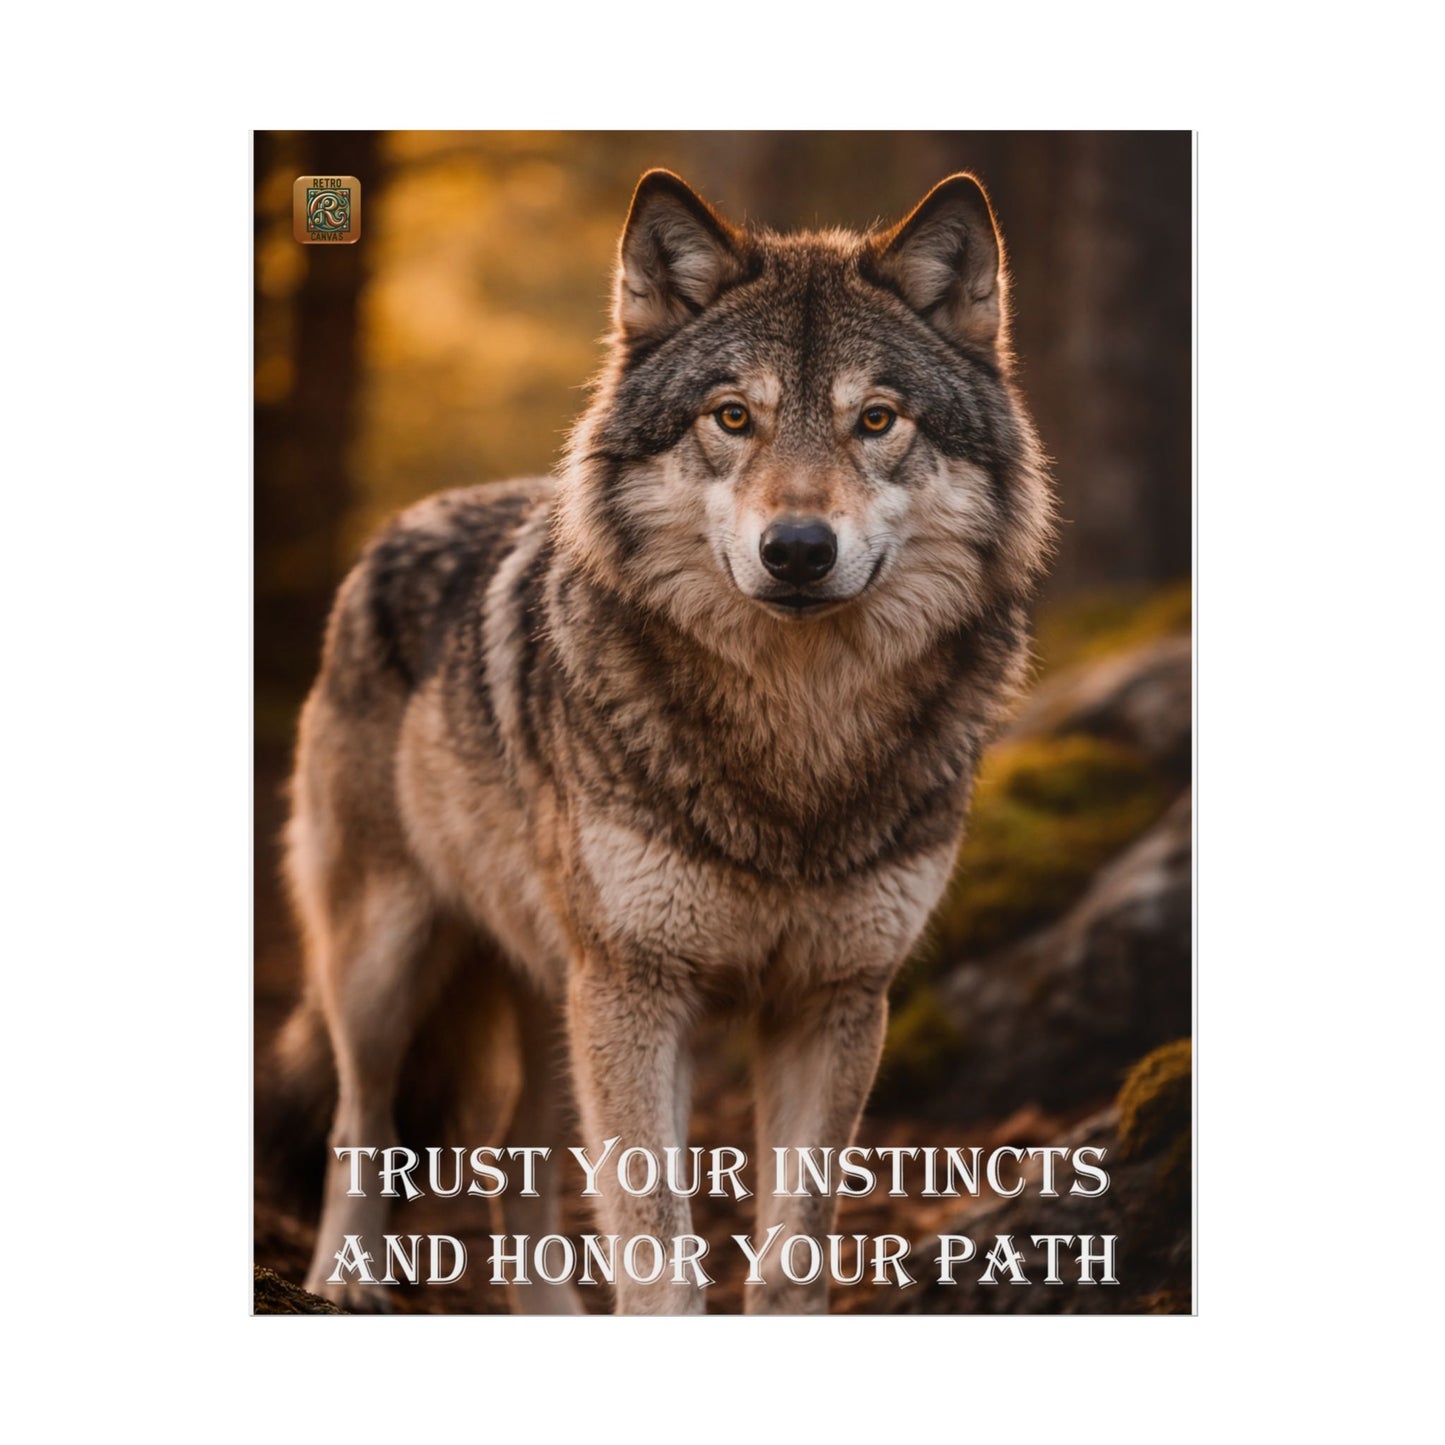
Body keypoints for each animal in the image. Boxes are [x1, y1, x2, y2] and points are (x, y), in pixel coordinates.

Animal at [274, 168, 1054, 1314]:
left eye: (875, 419)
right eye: (731, 416)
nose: (796, 548)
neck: (794, 740)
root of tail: (394, 529)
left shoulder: (834, 1000)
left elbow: (788, 1262)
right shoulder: (641, 987)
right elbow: (656, 1255)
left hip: (559, 999)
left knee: (513, 1164)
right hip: (393, 966)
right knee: (357, 1119)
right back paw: (342, 1281)